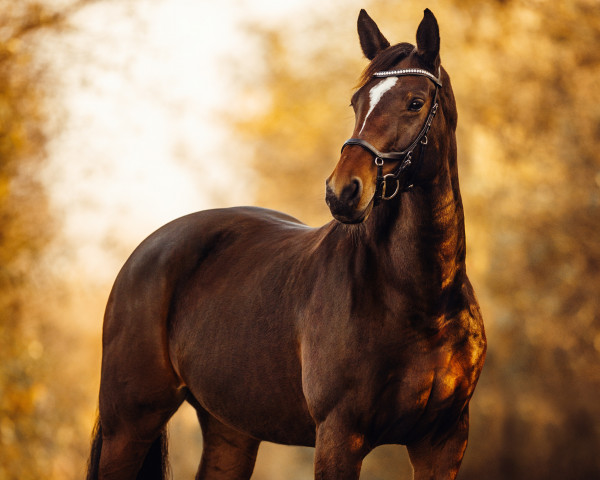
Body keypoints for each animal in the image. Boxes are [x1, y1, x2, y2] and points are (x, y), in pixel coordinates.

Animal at [85, 8, 488, 480]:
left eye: (415, 102)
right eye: (356, 102)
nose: (343, 191)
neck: (420, 301)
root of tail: (148, 249)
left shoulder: (442, 442)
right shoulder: (339, 437)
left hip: (230, 429)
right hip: (129, 426)